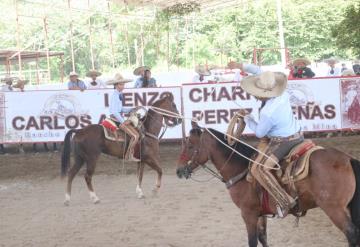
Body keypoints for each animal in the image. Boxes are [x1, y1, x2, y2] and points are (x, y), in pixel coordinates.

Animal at [176, 126, 360, 246]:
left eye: (190, 146)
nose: (179, 170)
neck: (241, 168)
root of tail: (347, 158)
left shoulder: (248, 213)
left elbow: (252, 241)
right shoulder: (260, 214)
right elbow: (263, 237)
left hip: (334, 209)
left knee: (351, 234)